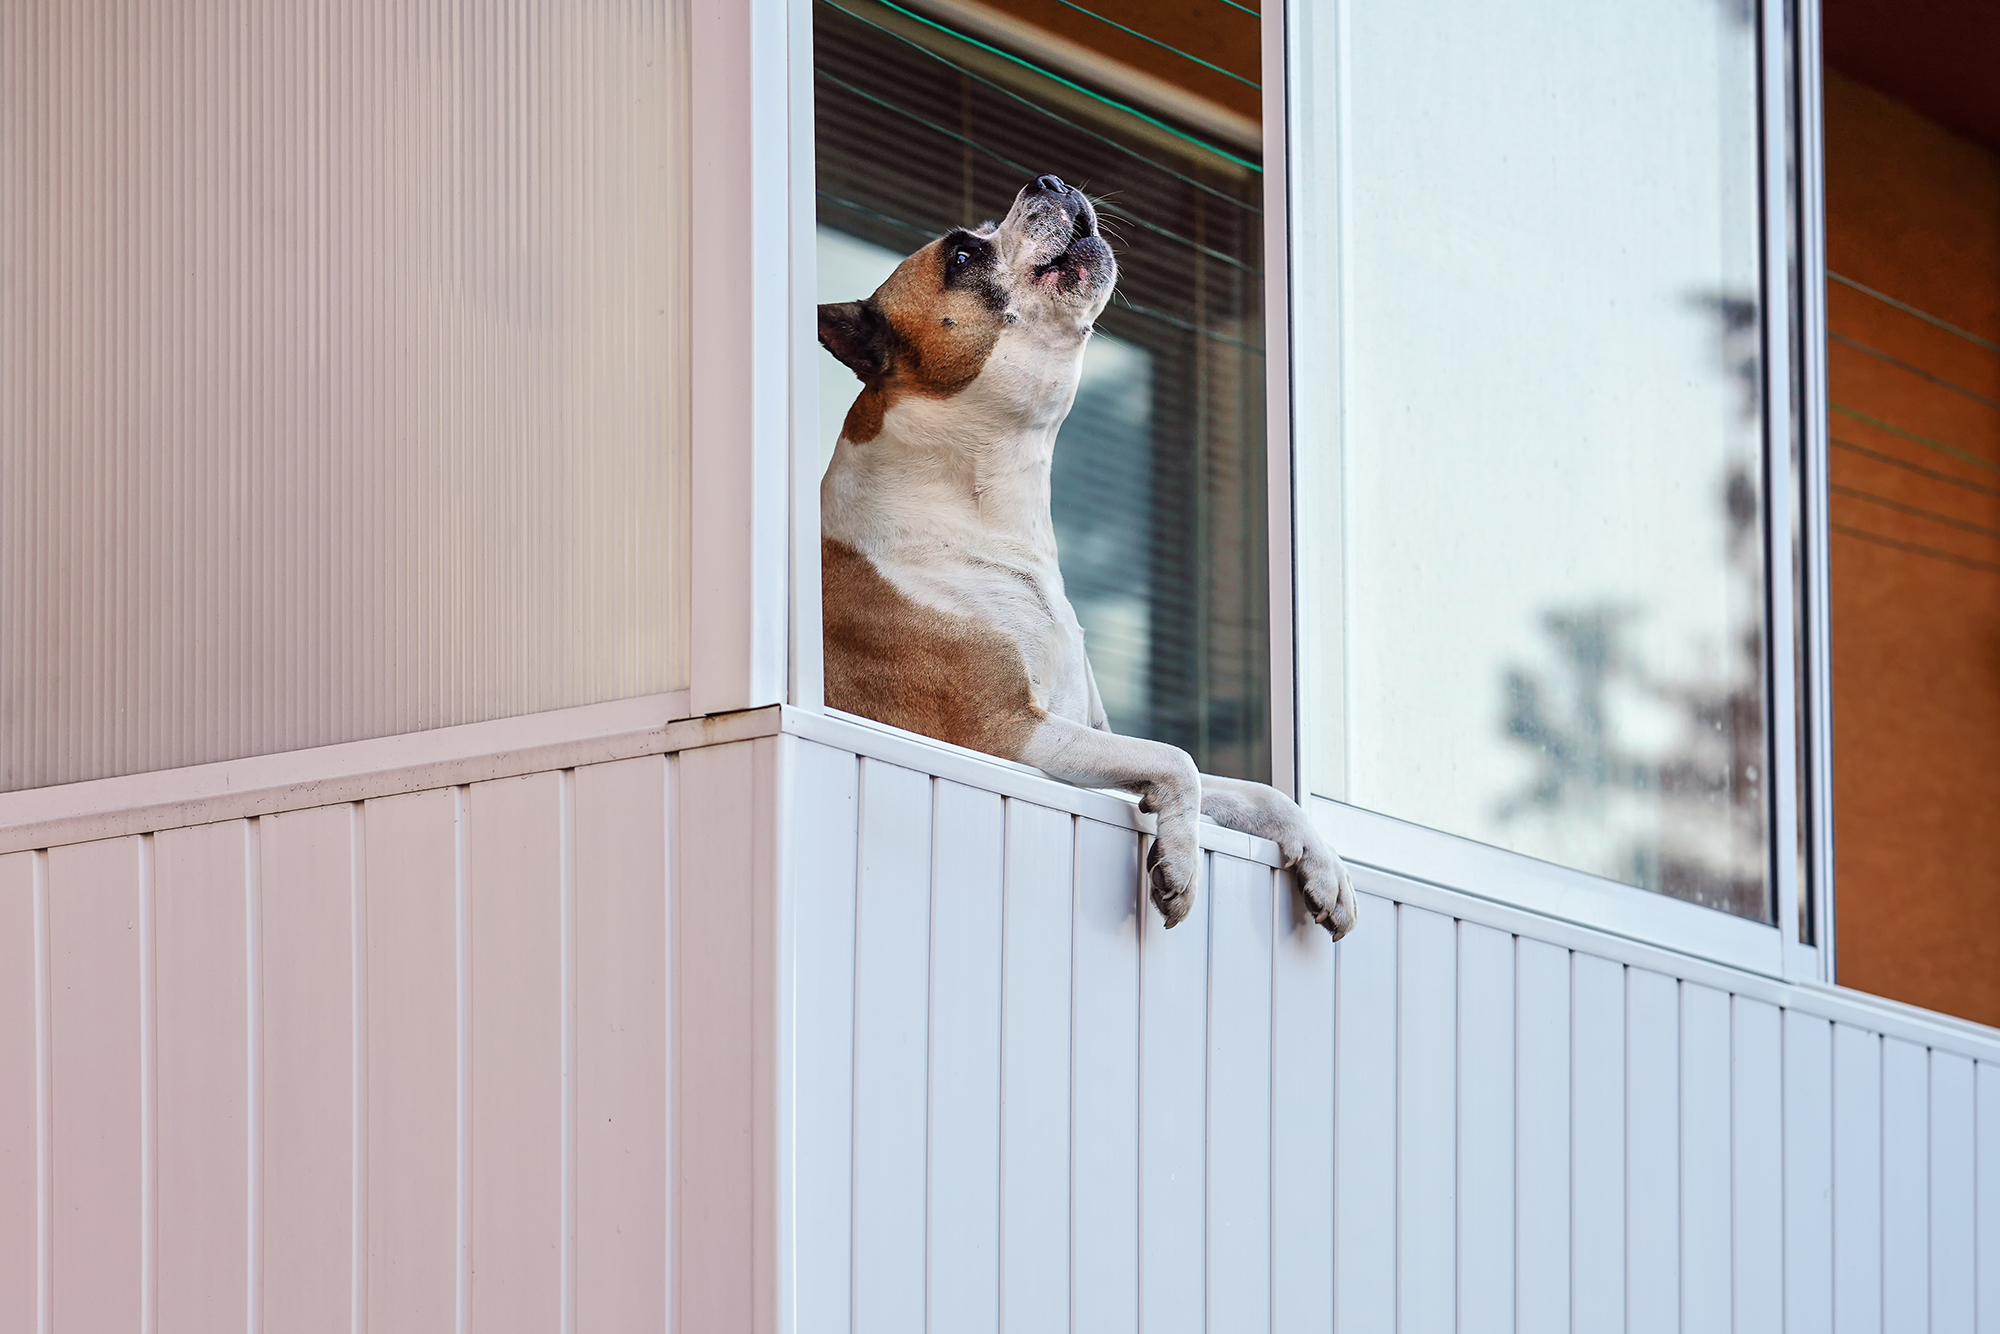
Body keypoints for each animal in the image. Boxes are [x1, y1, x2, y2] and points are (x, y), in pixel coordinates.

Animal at [816, 175, 1360, 940]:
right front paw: (1181, 862)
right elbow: (1179, 760)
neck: (985, 508)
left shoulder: (1085, 734)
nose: (1049, 181)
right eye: (961, 255)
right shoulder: (1007, 734)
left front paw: (1325, 867)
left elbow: (1256, 791)